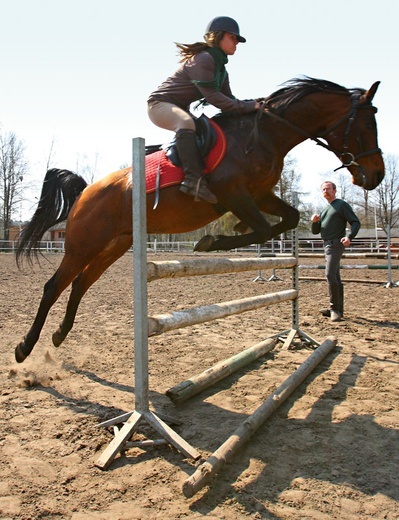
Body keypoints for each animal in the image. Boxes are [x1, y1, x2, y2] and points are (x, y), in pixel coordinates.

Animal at [14, 78, 384, 362]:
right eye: (368, 125)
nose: (376, 176)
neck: (264, 134)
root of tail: (85, 191)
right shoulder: (234, 194)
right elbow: (263, 228)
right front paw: (212, 241)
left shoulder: (260, 194)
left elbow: (287, 219)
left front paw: (226, 234)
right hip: (83, 244)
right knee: (53, 286)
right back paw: (24, 348)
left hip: (115, 245)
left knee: (80, 284)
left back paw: (59, 335)